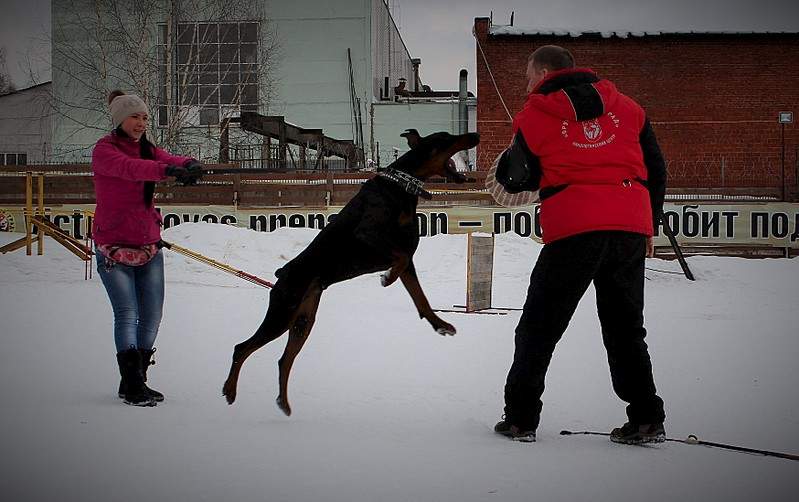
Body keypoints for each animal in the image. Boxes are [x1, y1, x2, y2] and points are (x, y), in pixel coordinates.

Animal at [222, 129, 478, 416]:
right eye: (445, 137)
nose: (475, 136)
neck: (401, 187)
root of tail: (282, 274)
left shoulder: (408, 256)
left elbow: (420, 298)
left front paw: (440, 325)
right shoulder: (369, 235)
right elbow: (398, 262)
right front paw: (387, 278)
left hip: (302, 321)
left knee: (283, 360)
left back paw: (283, 402)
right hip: (282, 313)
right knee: (241, 348)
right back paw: (230, 391)